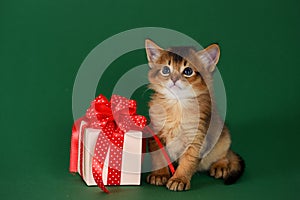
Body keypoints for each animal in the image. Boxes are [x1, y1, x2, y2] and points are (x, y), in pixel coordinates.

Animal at [145, 38, 246, 191]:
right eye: (165, 70)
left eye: (188, 71)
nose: (174, 79)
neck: (177, 106)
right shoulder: (155, 133)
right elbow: (159, 157)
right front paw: (159, 175)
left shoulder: (197, 138)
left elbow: (188, 161)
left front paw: (179, 179)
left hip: (223, 136)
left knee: (225, 153)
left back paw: (220, 165)